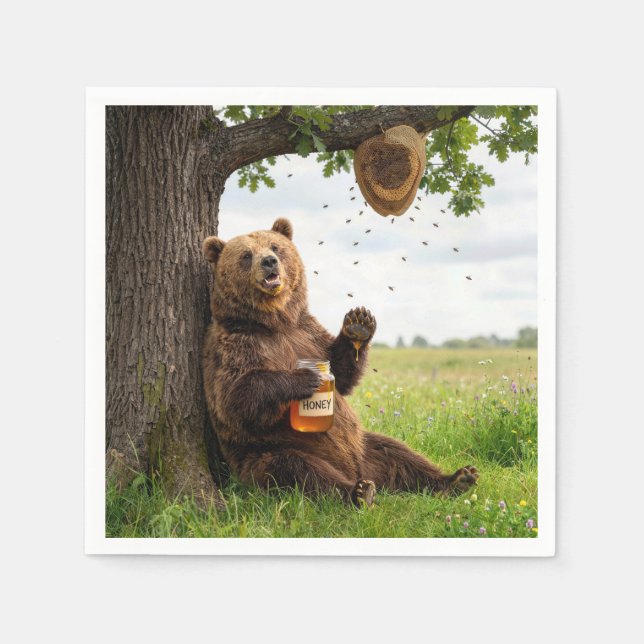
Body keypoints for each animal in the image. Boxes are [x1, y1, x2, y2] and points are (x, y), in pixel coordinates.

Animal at [202, 218, 478, 507]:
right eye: (246, 255)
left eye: (275, 247)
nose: (269, 261)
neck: (275, 323)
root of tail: (355, 470)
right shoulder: (234, 345)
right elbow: (236, 398)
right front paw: (305, 379)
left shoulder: (308, 333)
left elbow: (341, 373)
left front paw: (358, 323)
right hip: (268, 453)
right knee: (300, 471)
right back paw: (357, 493)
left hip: (365, 447)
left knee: (399, 454)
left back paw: (456, 479)